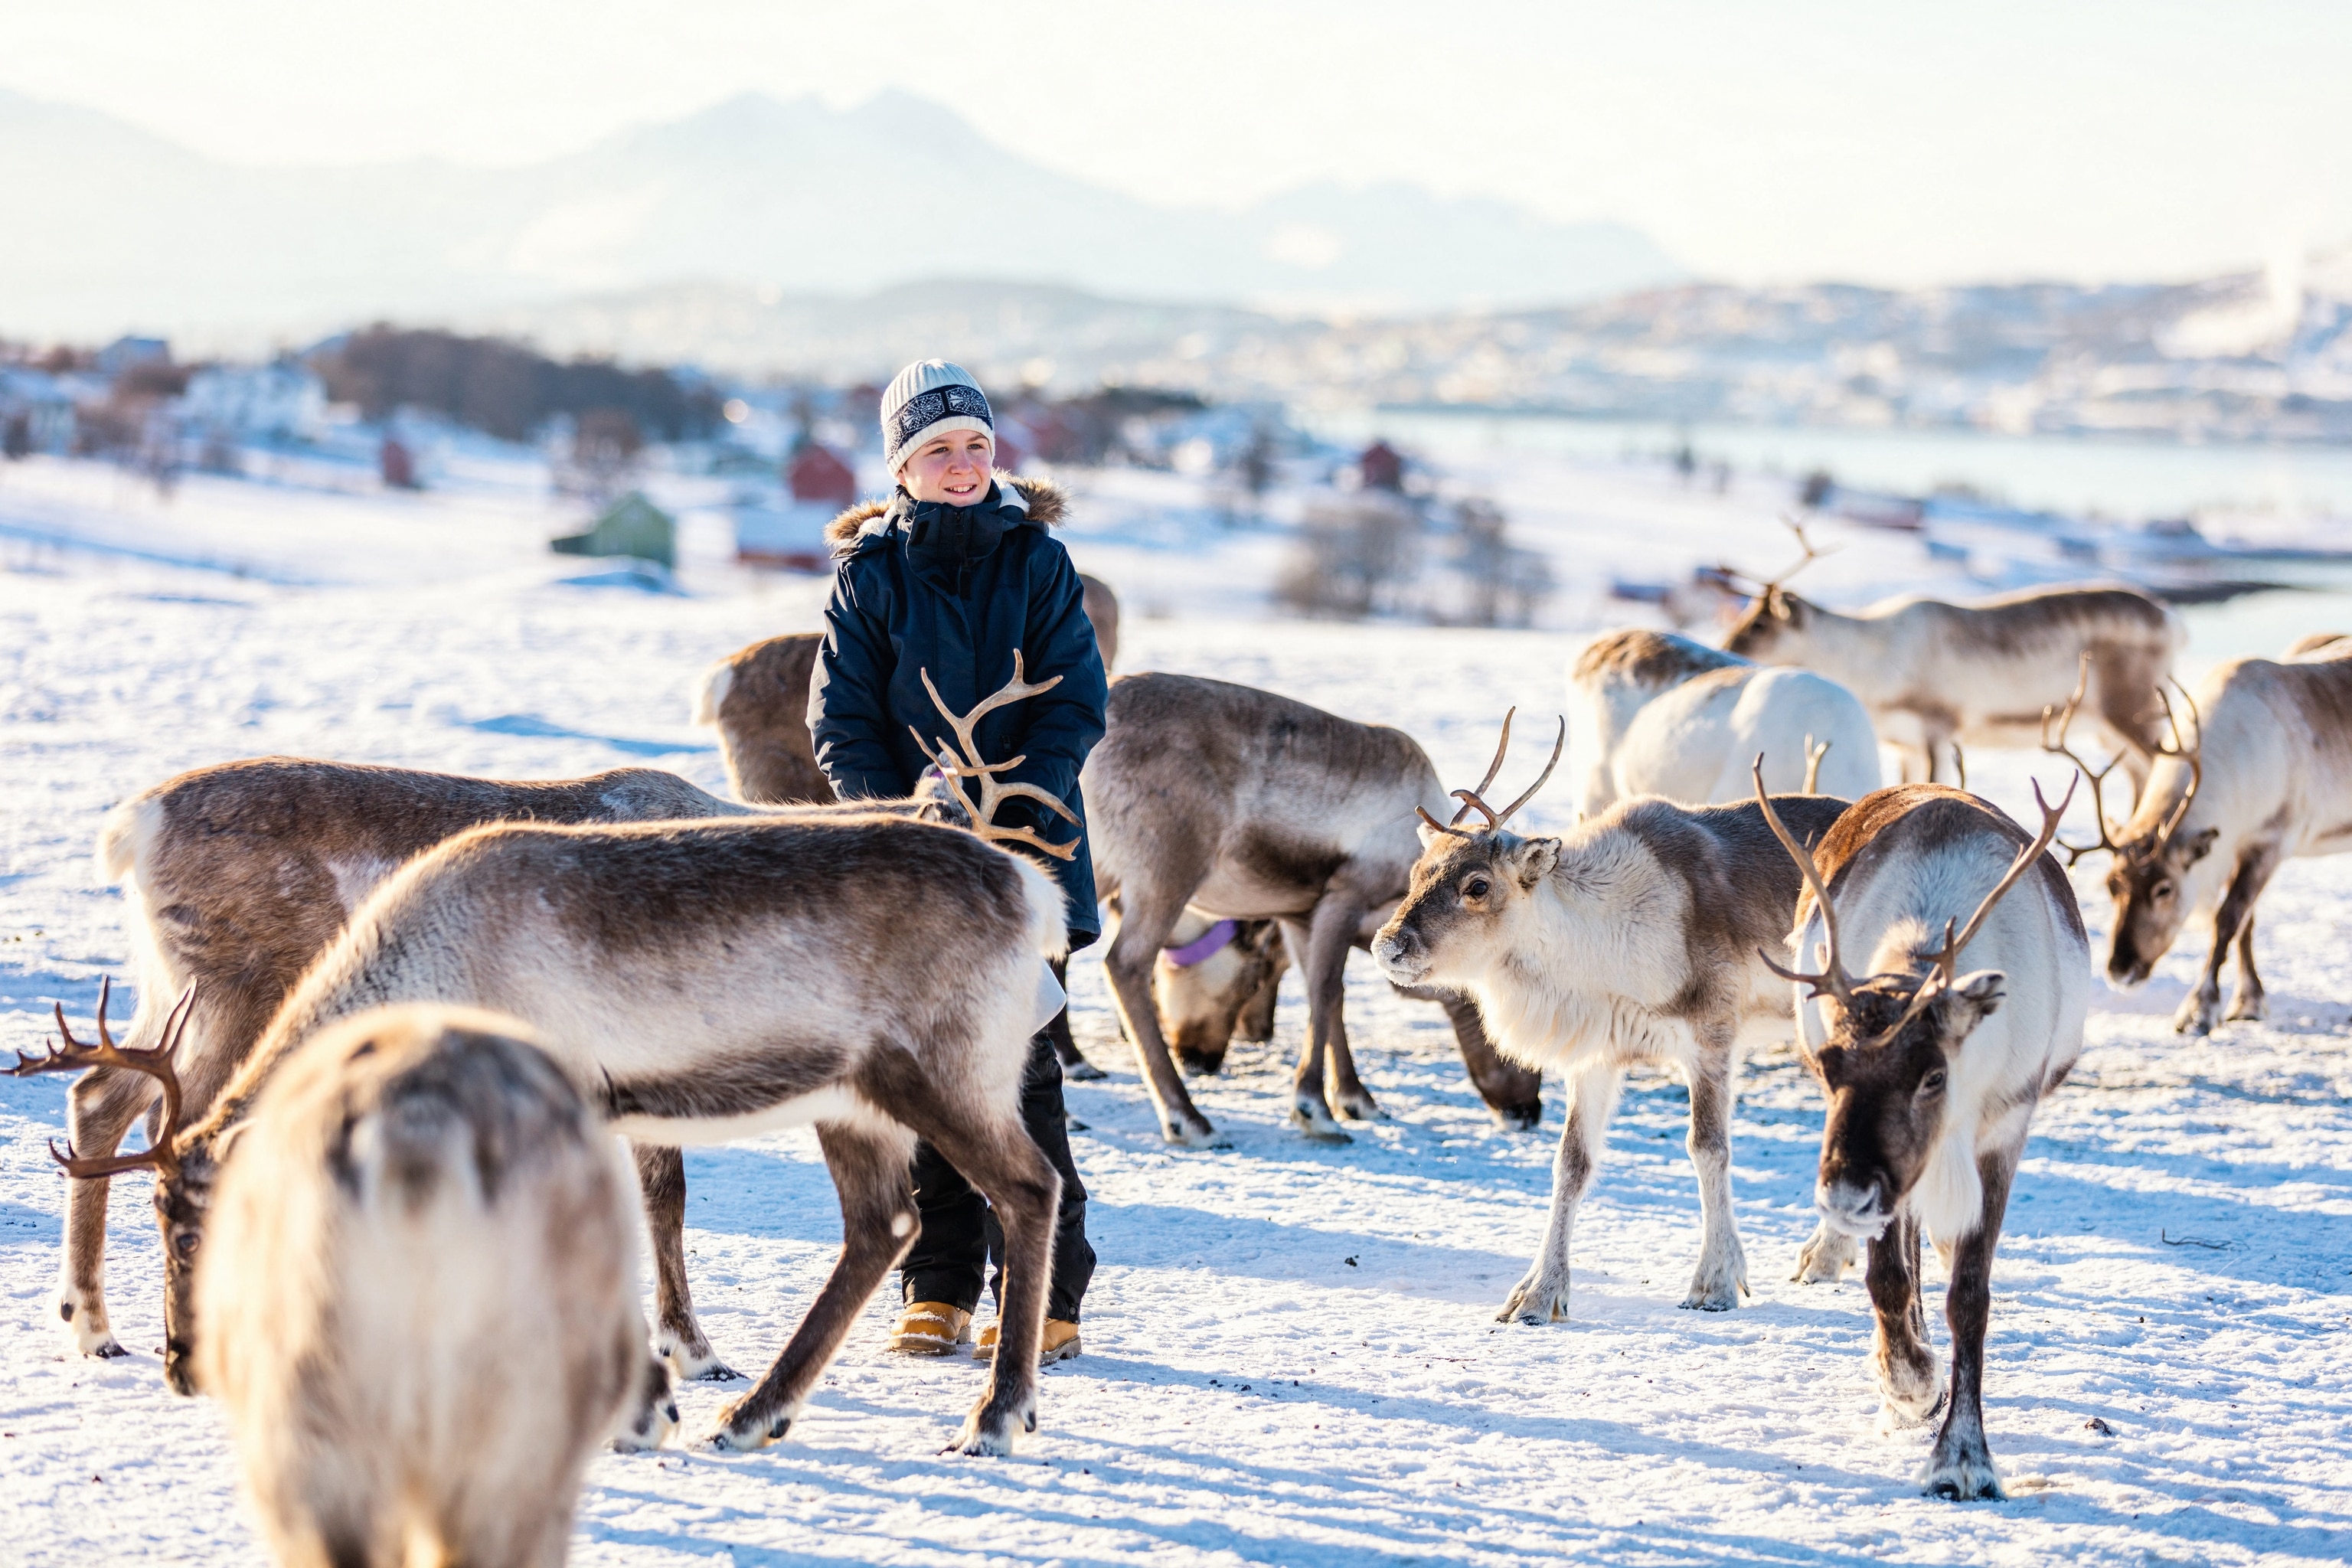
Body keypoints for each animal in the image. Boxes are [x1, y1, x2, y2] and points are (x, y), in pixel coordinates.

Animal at [1086, 674, 1543, 1145]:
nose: (1530, 1111)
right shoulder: (1342, 898)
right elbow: (1326, 990)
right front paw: (1315, 1109)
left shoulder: (1299, 916)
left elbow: (1325, 995)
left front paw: (1355, 1099)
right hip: (1166, 872)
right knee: (1125, 965)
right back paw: (1188, 1118)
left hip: (1094, 867)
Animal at [1370, 720, 1854, 1324]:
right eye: (1417, 872)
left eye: (1477, 885)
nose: (1388, 945)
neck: (1607, 935)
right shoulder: (1595, 1056)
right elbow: (1571, 1163)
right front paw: (1538, 1294)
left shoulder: (1711, 1038)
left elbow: (1708, 1148)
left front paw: (1715, 1283)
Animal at [1721, 524, 2180, 790]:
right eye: (1744, 614)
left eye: (1759, 625)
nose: (1726, 648)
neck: (1867, 658)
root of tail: (2172, 621)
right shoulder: (1904, 743)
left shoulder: (1937, 731)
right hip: (2106, 728)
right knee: (2143, 777)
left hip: (2133, 712)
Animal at [1754, 771, 2085, 1500]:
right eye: (1831, 1065)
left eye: (1934, 1074)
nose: (1844, 1194)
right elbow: (1887, 1278)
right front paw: (1911, 1386)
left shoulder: (2003, 1132)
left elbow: (1971, 1295)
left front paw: (1963, 1458)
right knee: (1903, 1256)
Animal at [2046, 635, 2352, 1034]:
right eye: (2111, 885)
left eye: (2164, 889)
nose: (2120, 970)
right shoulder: (2231, 846)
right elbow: (2246, 924)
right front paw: (2248, 1001)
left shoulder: (2270, 842)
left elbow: (2228, 919)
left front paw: (2200, 1008)